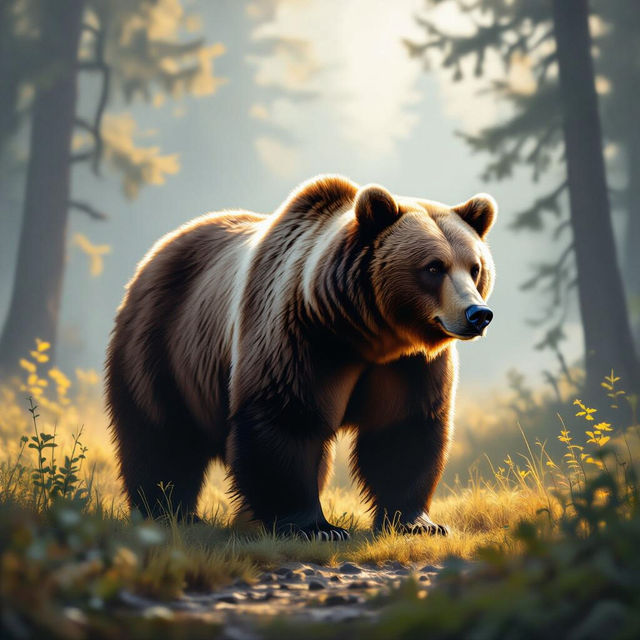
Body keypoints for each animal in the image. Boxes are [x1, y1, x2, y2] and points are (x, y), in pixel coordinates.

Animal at [105, 175, 496, 540]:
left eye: (474, 267)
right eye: (433, 267)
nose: (478, 313)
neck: (368, 334)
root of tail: (158, 250)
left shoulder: (409, 364)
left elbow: (404, 429)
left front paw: (418, 523)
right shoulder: (301, 335)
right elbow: (287, 418)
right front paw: (316, 527)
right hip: (160, 343)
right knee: (161, 434)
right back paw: (169, 513)